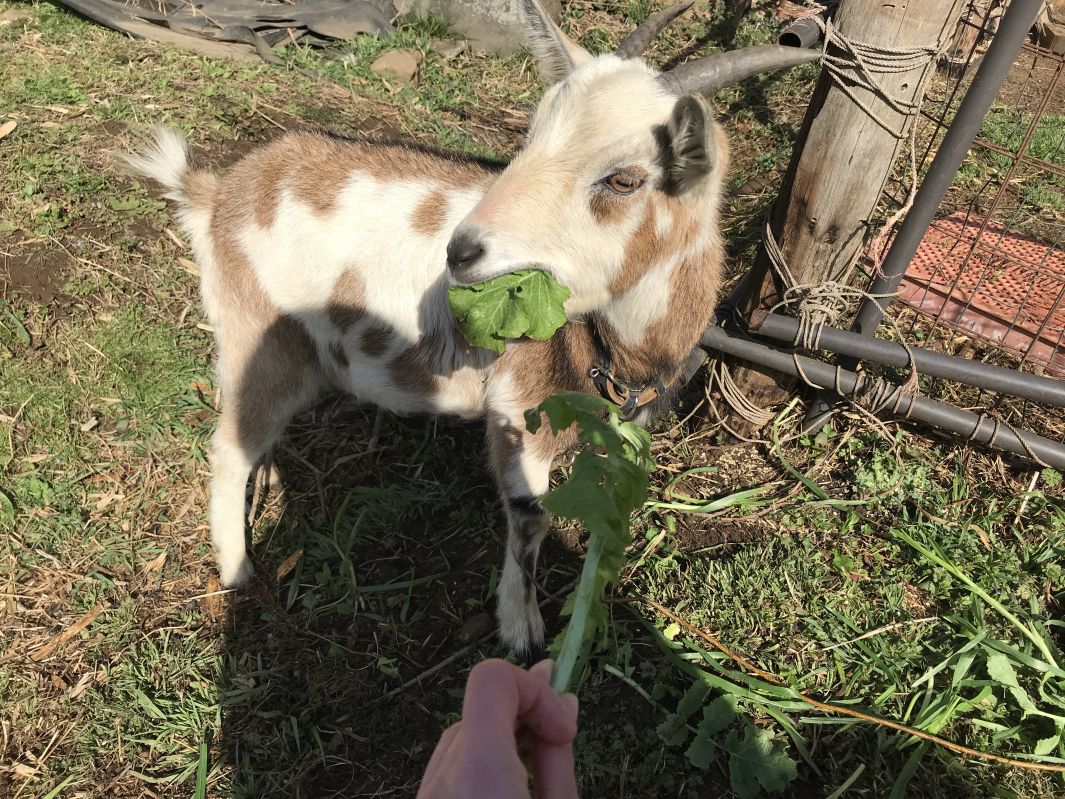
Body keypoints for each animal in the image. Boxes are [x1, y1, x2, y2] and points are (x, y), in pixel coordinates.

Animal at [126, 0, 822, 660]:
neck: (625, 345)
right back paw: (237, 568)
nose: (460, 251)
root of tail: (216, 196)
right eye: (531, 136)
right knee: (226, 446)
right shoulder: (518, 410)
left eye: (624, 179)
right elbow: (529, 518)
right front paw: (521, 628)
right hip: (253, 330)